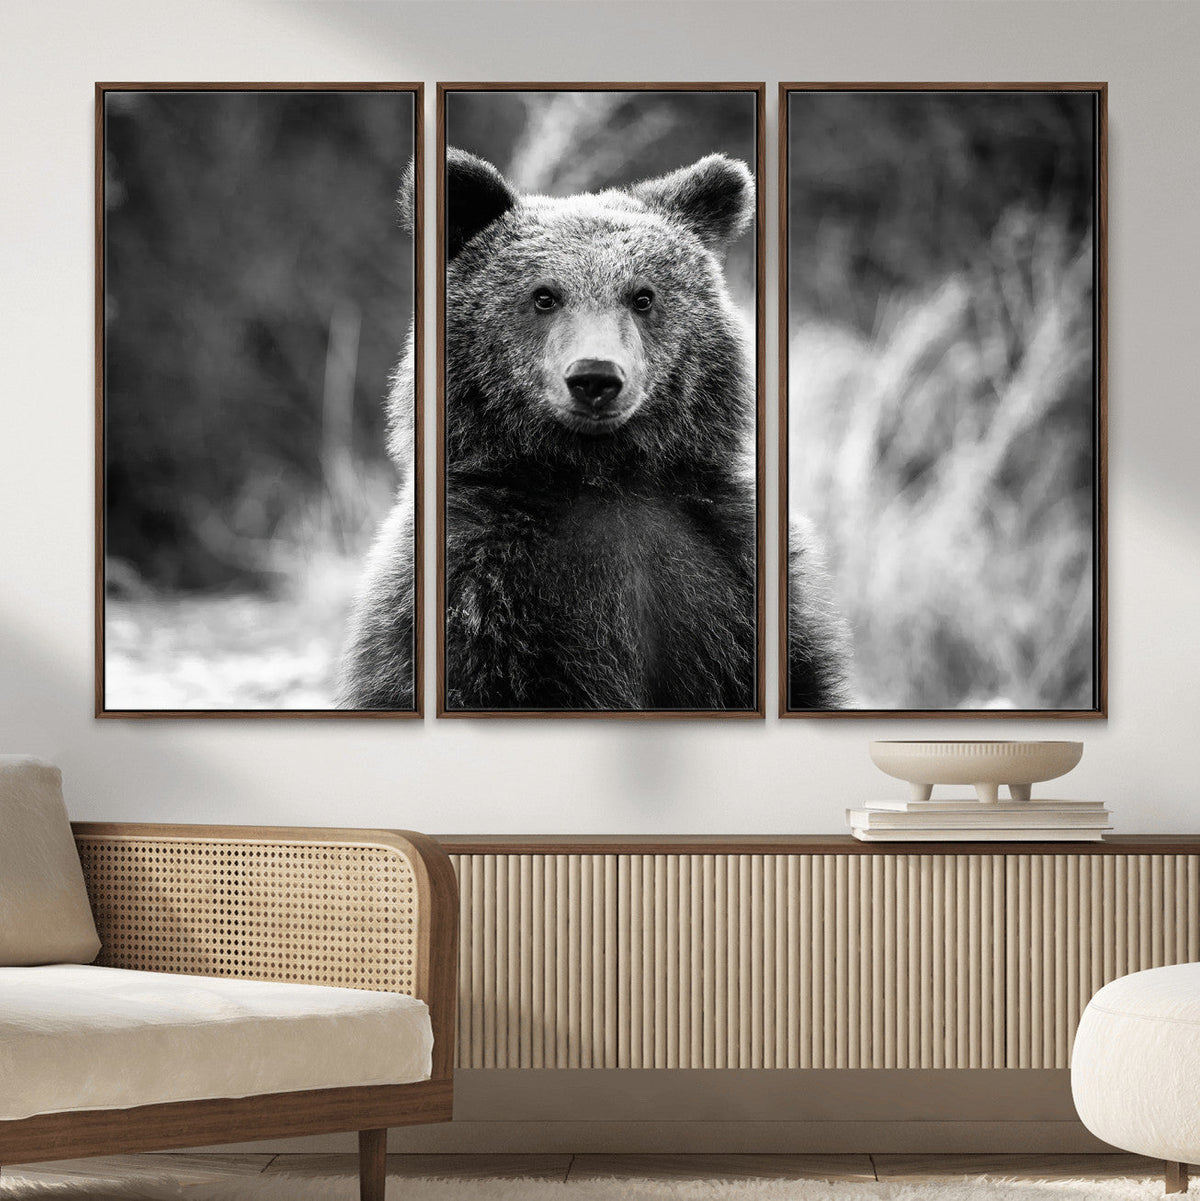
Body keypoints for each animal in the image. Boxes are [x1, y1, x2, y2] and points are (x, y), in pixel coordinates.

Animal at [339, 149, 849, 712]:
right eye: (544, 296)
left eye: (642, 296)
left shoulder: (727, 571)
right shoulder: (480, 588)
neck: (601, 475)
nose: (595, 377)